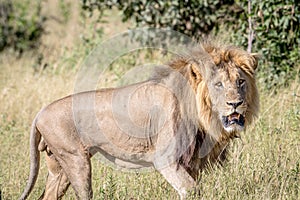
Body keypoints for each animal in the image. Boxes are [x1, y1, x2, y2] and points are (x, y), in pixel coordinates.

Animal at [19, 41, 258, 198]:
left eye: (240, 82)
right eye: (218, 84)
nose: (235, 103)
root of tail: (40, 113)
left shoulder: (191, 161)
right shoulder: (165, 158)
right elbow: (191, 189)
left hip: (58, 166)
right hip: (75, 159)